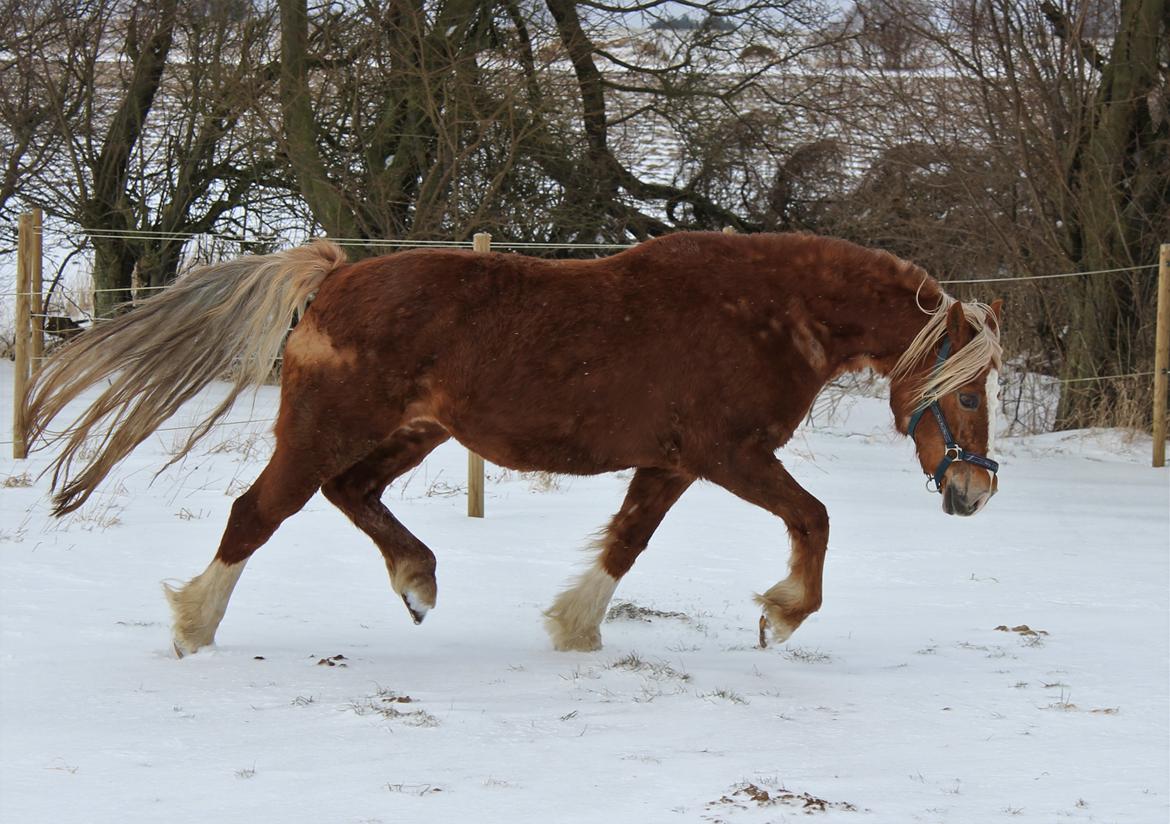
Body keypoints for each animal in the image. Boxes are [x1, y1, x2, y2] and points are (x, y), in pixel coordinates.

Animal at [22, 231, 1001, 655]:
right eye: (969, 389)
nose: (976, 493)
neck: (766, 310)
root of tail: (332, 276)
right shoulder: (729, 456)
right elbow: (816, 518)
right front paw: (781, 613)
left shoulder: (671, 464)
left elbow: (626, 544)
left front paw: (575, 630)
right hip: (324, 429)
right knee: (256, 514)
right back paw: (195, 628)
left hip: (413, 433)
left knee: (353, 496)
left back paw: (418, 581)